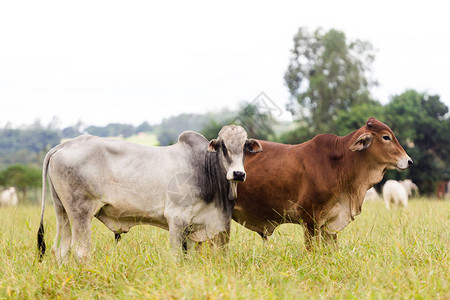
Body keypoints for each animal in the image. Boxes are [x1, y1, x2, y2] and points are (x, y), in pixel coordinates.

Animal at [37, 125, 262, 264]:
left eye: (244, 146)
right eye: (223, 146)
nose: (238, 173)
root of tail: (63, 145)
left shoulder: (194, 227)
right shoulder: (176, 219)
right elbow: (177, 256)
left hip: (63, 212)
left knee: (61, 251)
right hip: (81, 213)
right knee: (81, 252)